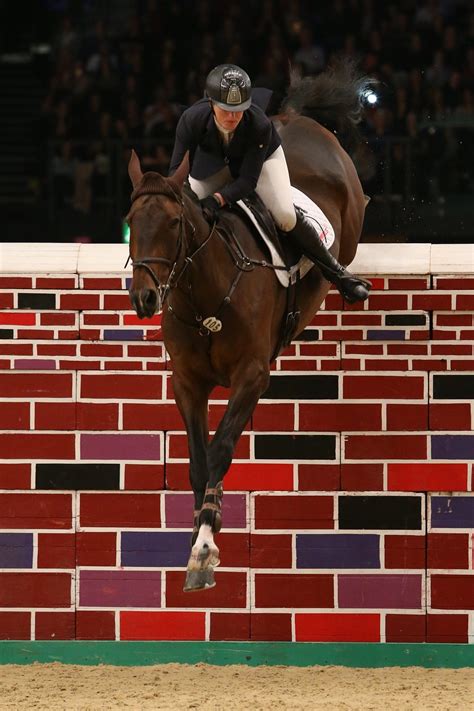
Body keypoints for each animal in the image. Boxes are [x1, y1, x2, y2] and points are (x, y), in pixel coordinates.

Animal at [128, 61, 372, 592]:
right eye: (131, 221)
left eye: (175, 224)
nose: (144, 298)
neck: (206, 292)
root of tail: (295, 119)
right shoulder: (188, 382)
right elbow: (199, 462)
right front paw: (202, 527)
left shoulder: (252, 375)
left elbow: (221, 449)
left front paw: (204, 547)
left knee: (298, 221)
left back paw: (347, 280)